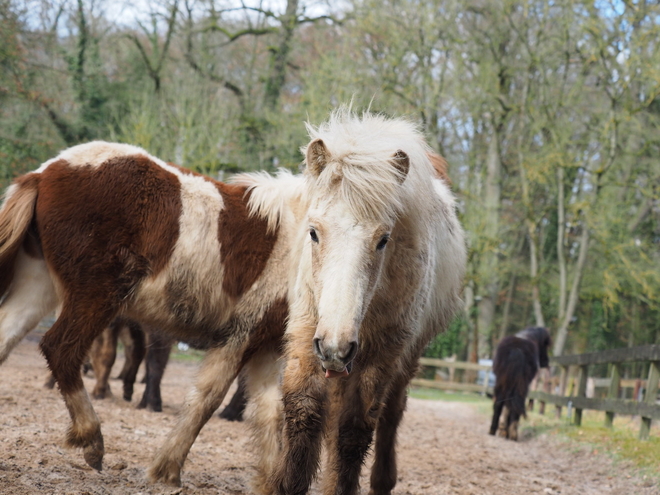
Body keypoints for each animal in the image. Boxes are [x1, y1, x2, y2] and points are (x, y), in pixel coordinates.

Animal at [0, 140, 296, 488]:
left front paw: (272, 483)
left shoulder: (267, 346)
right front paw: (167, 469)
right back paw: (92, 439)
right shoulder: (241, 335)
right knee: (62, 350)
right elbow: (206, 399)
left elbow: (269, 414)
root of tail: (45, 173)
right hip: (96, 295)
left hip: (39, 285)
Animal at [235, 112, 466, 495]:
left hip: (403, 358)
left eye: (383, 239)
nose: (335, 347)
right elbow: (304, 413)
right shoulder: (307, 334)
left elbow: (353, 433)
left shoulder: (379, 355)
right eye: (313, 232)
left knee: (391, 413)